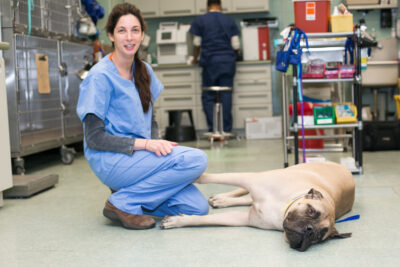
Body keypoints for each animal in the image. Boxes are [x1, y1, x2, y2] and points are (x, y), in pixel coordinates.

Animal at [161, 162, 354, 252]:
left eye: (319, 236)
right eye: (311, 211)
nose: (309, 230)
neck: (282, 207)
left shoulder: (243, 218)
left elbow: (206, 220)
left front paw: (179, 221)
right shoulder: (248, 178)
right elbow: (210, 177)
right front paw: (193, 176)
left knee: (246, 199)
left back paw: (221, 200)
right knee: (242, 192)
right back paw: (221, 197)